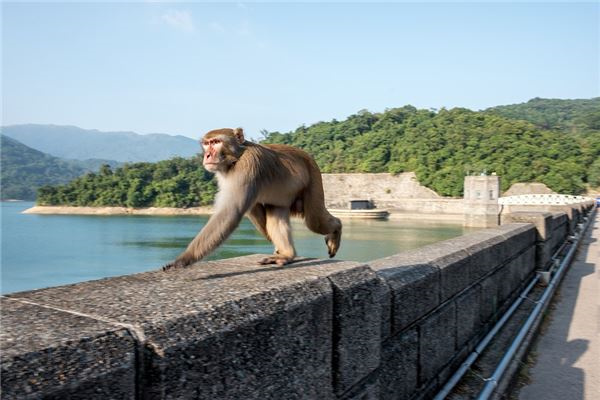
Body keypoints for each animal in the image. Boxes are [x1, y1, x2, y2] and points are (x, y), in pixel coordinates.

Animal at [162, 128, 342, 272]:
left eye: (216, 142)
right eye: (206, 143)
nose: (207, 155)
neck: (237, 157)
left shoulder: (249, 165)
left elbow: (231, 211)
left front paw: (184, 259)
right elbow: (251, 208)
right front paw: (277, 248)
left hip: (314, 176)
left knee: (314, 221)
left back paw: (336, 228)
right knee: (275, 215)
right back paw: (286, 254)